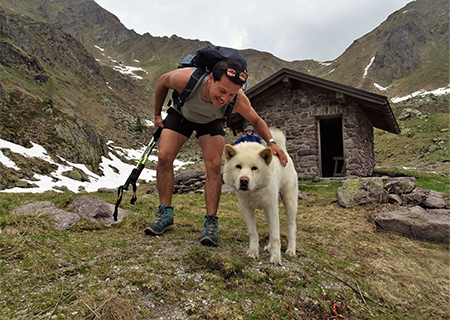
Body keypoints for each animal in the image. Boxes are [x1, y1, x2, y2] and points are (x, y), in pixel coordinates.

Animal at [222, 126, 298, 264]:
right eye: (238, 166)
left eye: (254, 168)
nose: (244, 180)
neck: (254, 191)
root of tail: (283, 152)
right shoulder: (247, 208)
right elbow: (253, 232)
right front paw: (253, 252)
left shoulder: (272, 207)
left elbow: (275, 235)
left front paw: (276, 257)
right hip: (267, 210)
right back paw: (269, 247)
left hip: (289, 203)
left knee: (291, 227)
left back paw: (290, 250)